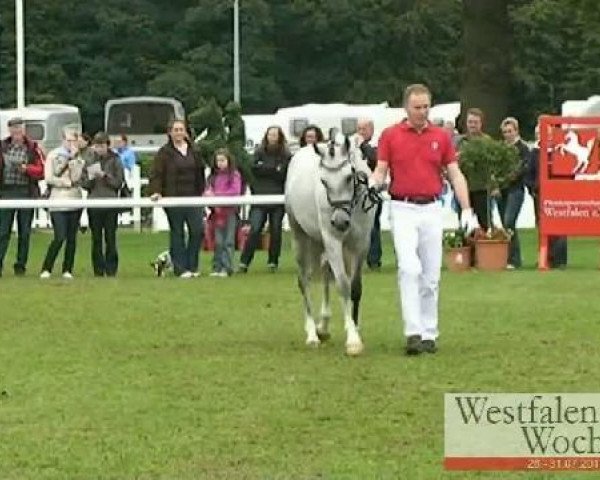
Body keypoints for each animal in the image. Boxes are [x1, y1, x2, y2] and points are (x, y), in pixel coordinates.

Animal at [284, 133, 378, 354]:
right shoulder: (333, 240)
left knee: (326, 271)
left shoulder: (361, 244)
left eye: (349, 177)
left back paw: (323, 327)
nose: (339, 221)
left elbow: (355, 287)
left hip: (320, 242)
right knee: (304, 280)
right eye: (323, 181)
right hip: (300, 237)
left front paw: (355, 328)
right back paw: (312, 334)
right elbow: (343, 285)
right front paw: (352, 340)